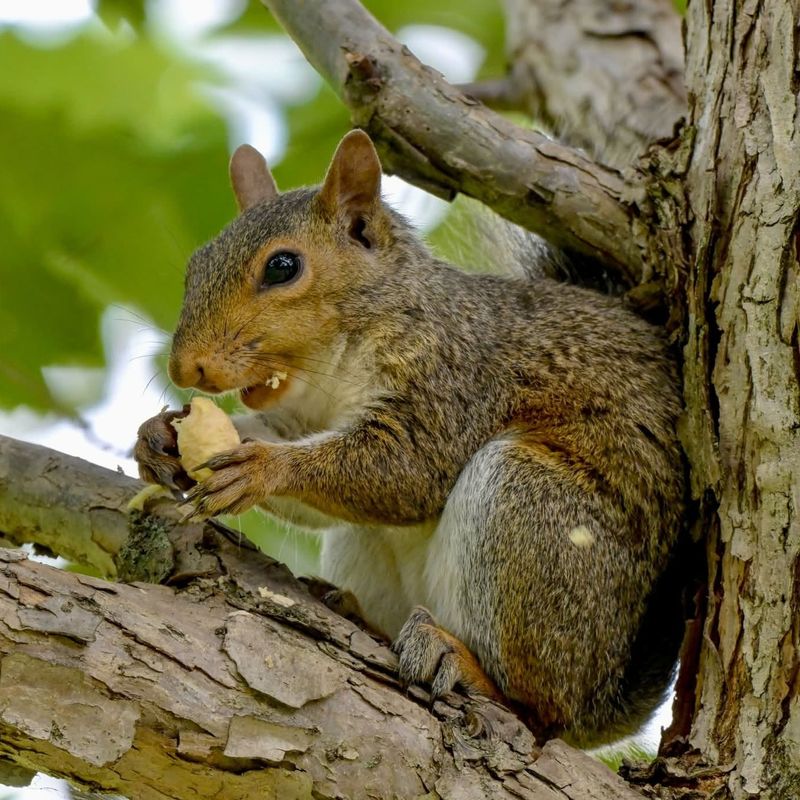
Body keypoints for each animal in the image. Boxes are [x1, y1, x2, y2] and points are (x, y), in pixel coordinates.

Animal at [134, 129, 685, 746]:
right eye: (195, 265)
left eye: (282, 267)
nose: (185, 368)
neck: (335, 368)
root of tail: (602, 705)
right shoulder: (302, 420)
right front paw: (157, 437)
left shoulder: (454, 378)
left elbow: (406, 470)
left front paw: (260, 469)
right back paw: (352, 610)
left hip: (533, 514)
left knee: (540, 708)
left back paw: (466, 666)